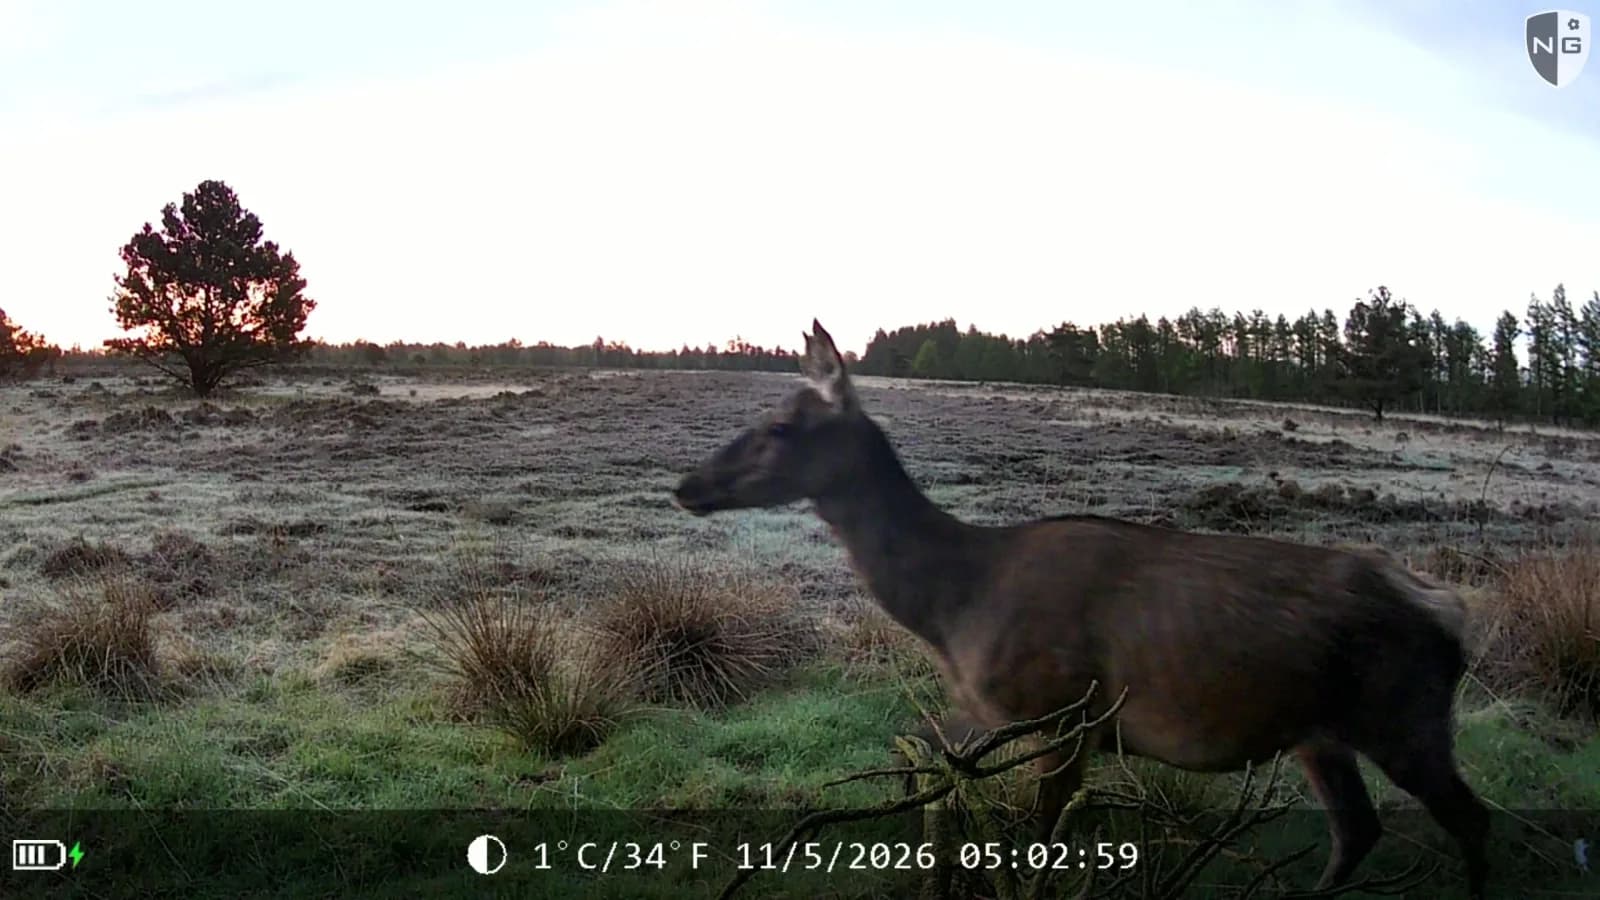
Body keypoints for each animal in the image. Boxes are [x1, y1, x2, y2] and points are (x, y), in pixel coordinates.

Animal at [671, 321, 1491, 897]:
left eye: (780, 427)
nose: (687, 485)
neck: (954, 604)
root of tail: (1448, 608)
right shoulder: (992, 710)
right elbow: (923, 756)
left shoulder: (1065, 711)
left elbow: (1038, 841)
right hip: (1321, 732)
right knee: (1358, 830)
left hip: (1402, 714)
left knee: (1472, 819)